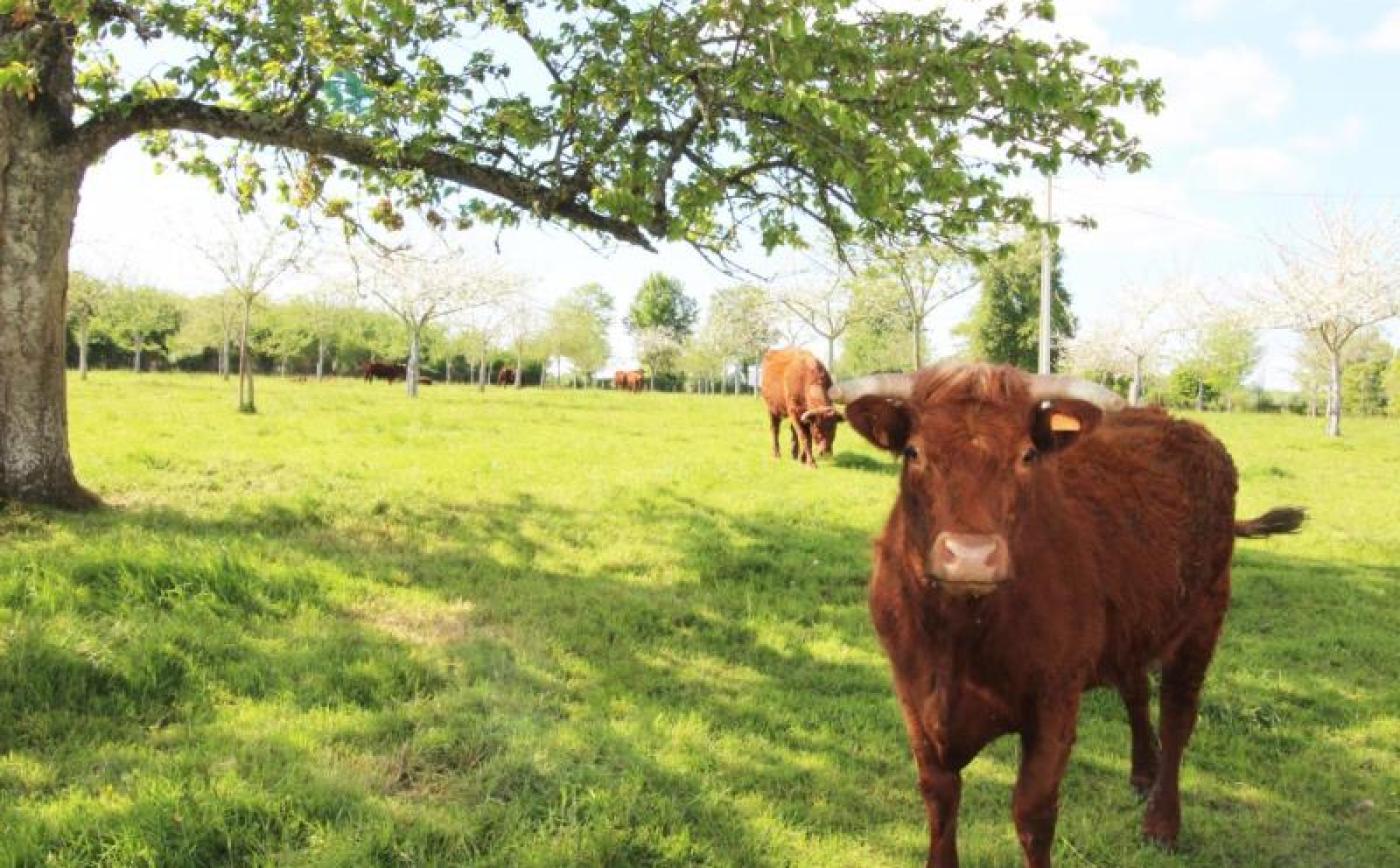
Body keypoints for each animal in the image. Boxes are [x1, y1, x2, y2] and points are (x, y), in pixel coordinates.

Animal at [823, 366, 1304, 868]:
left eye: (1028, 455)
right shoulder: (913, 695)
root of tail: (1181, 424)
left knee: (1177, 717)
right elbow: (940, 800)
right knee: (1136, 690)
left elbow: (1032, 814)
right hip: (1129, 626)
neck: (961, 639)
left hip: (1203, 620)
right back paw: (1143, 772)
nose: (972, 556)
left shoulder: (1055, 700)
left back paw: (1162, 822)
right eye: (913, 452)